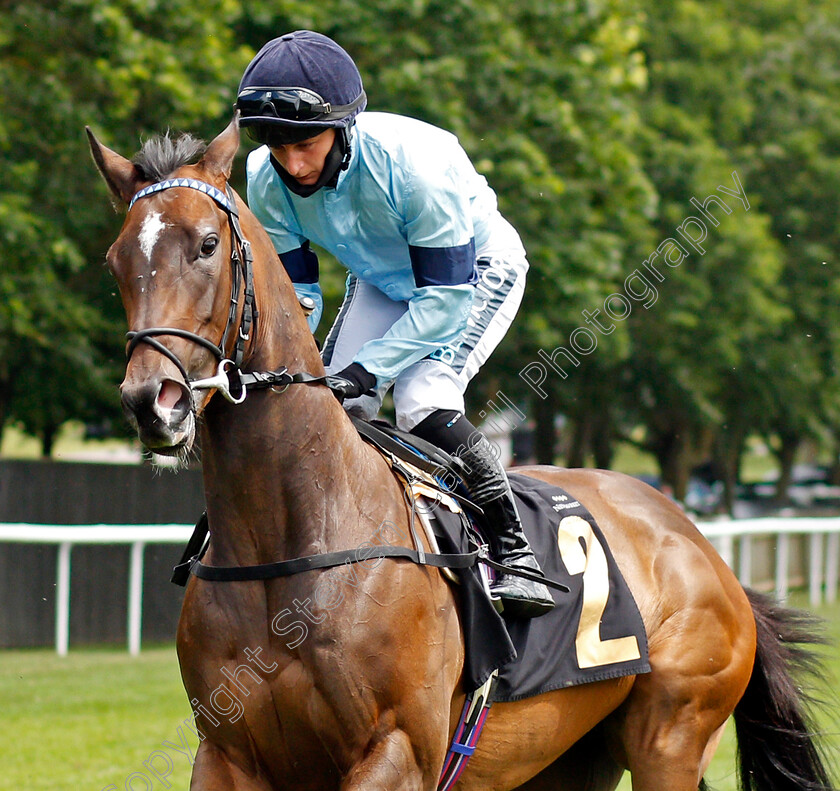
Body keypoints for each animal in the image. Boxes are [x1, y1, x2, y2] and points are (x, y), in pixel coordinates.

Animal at [88, 117, 836, 791]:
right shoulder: (225, 755)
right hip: (567, 759)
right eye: (117, 259)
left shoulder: (396, 750)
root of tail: (697, 542)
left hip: (671, 735)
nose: (152, 400)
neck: (290, 541)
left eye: (208, 245)